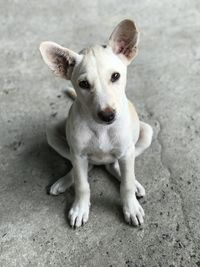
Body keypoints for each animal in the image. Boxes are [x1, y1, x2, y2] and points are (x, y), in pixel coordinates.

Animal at [39, 19, 152, 228]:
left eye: (115, 76)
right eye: (83, 84)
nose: (108, 115)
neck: (102, 129)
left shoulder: (127, 151)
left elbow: (126, 184)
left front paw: (131, 208)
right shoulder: (78, 154)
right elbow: (82, 185)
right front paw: (79, 209)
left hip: (146, 132)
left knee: (116, 167)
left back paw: (135, 184)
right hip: (54, 135)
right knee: (82, 168)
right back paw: (64, 181)